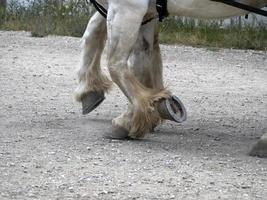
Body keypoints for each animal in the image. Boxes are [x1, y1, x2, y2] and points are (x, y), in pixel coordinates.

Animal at [74, 0, 267, 152]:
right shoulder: (144, 14)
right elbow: (96, 32)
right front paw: (90, 91)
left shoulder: (128, 7)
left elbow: (116, 64)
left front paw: (132, 118)